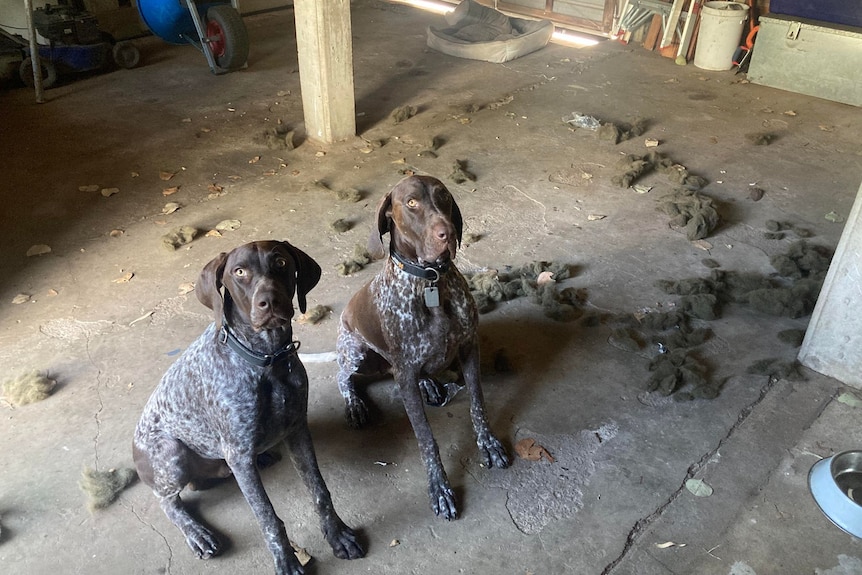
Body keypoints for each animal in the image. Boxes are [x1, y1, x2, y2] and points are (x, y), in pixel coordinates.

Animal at [132, 241, 364, 572]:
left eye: (281, 262)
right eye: (239, 272)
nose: (270, 301)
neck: (267, 359)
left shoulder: (297, 429)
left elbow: (319, 492)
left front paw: (338, 535)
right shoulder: (239, 456)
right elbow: (268, 519)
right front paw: (286, 561)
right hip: (171, 455)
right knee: (168, 502)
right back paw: (197, 533)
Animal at [338, 177, 512, 520]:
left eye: (442, 196)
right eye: (412, 203)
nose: (447, 233)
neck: (429, 282)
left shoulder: (469, 348)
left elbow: (478, 405)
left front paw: (488, 444)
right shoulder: (404, 376)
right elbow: (426, 439)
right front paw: (440, 488)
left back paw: (429, 383)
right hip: (356, 352)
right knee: (343, 377)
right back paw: (355, 404)